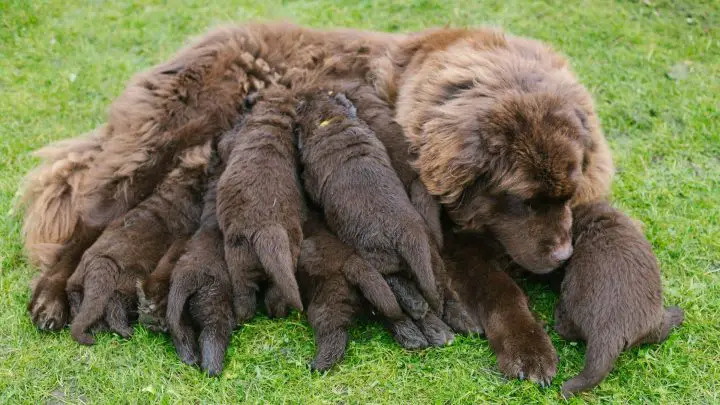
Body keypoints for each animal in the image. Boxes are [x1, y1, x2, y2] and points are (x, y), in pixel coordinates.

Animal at [214, 87, 304, 324]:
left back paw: (239, 317)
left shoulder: (231, 142)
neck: (273, 120)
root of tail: (268, 230)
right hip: (289, 254)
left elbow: (223, 144)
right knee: (277, 294)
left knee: (245, 295)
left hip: (239, 259)